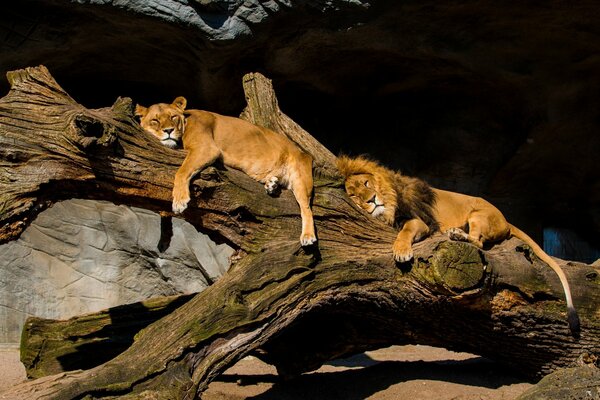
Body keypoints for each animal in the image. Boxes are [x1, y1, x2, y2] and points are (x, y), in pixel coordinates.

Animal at [134, 97, 316, 247]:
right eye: (155, 120)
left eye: (173, 117)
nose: (168, 131)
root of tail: (303, 153)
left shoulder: (206, 148)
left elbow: (182, 171)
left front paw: (179, 201)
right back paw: (271, 184)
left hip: (301, 178)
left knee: (306, 208)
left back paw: (308, 236)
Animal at [336, 155, 580, 332]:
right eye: (353, 195)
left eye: (367, 183)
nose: (372, 199)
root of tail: (505, 220)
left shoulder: (420, 222)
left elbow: (405, 231)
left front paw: (401, 251)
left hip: (477, 215)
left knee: (479, 243)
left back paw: (456, 234)